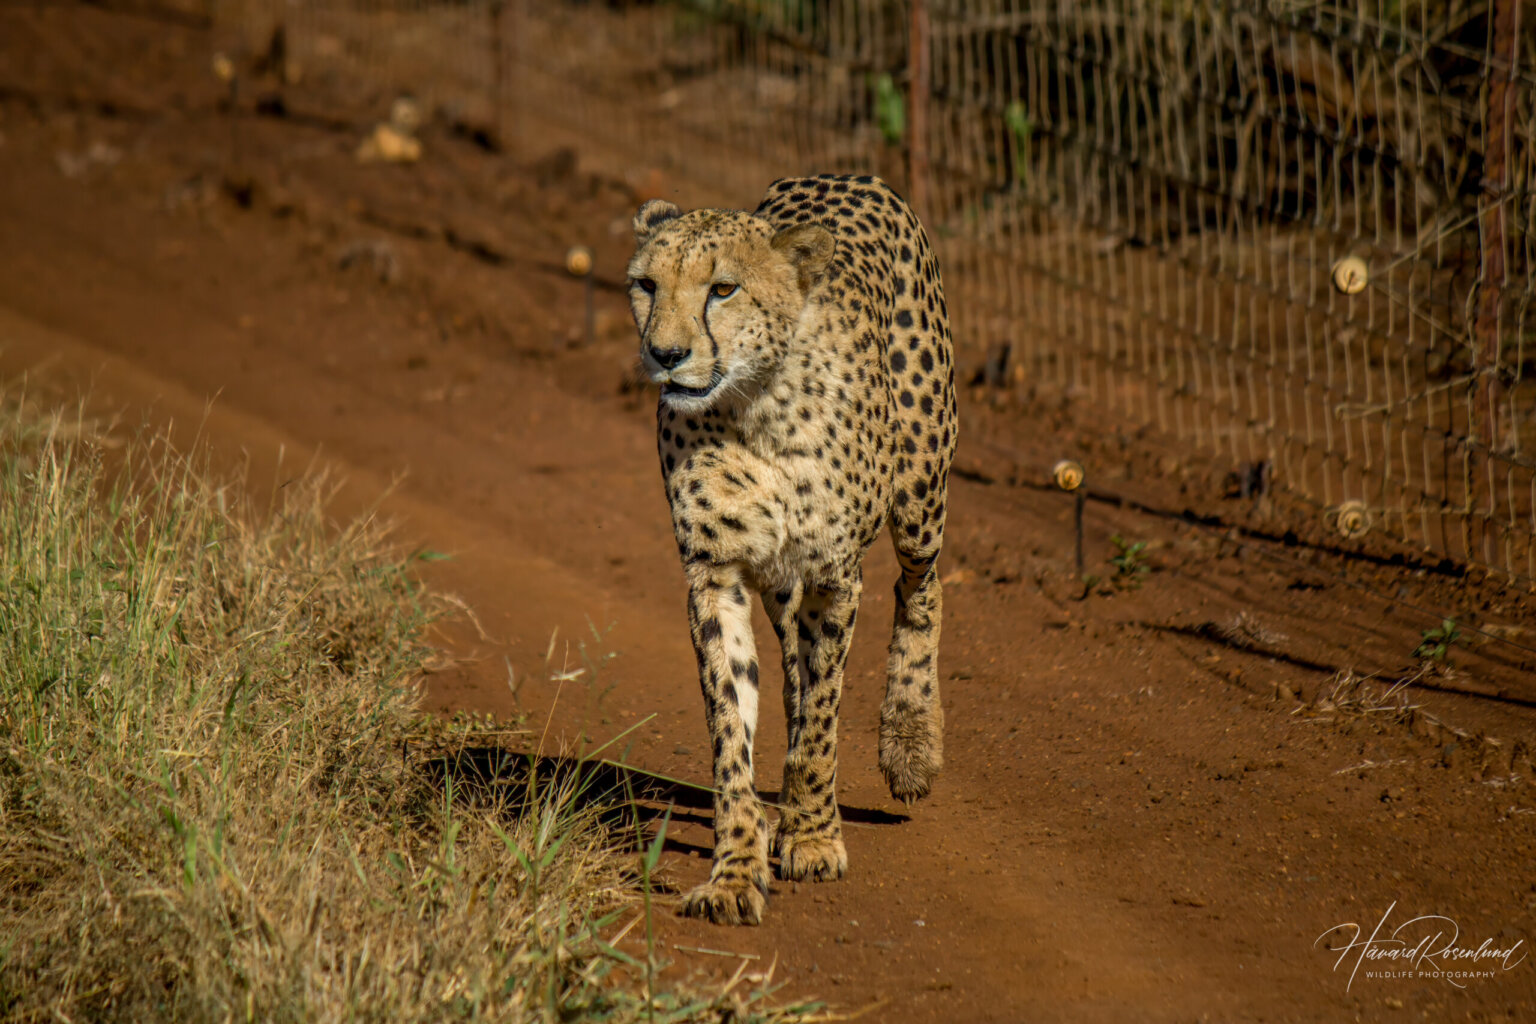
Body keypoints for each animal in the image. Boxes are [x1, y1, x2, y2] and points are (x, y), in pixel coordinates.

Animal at [625, 174, 957, 925]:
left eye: (723, 289)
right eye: (646, 285)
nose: (665, 355)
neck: (755, 404)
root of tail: (856, 177)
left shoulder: (835, 576)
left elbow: (825, 722)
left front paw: (811, 835)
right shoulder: (715, 575)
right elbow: (732, 727)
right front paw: (736, 869)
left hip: (919, 485)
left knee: (921, 586)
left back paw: (911, 742)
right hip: (780, 584)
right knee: (791, 676)